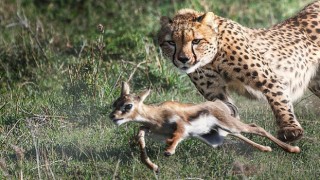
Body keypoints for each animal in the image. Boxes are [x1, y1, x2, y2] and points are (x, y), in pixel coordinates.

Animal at [158, 1, 320, 142]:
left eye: (196, 41)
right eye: (171, 42)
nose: (183, 59)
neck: (212, 59)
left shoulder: (269, 79)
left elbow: (279, 101)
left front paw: (290, 129)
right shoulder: (215, 91)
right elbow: (224, 110)